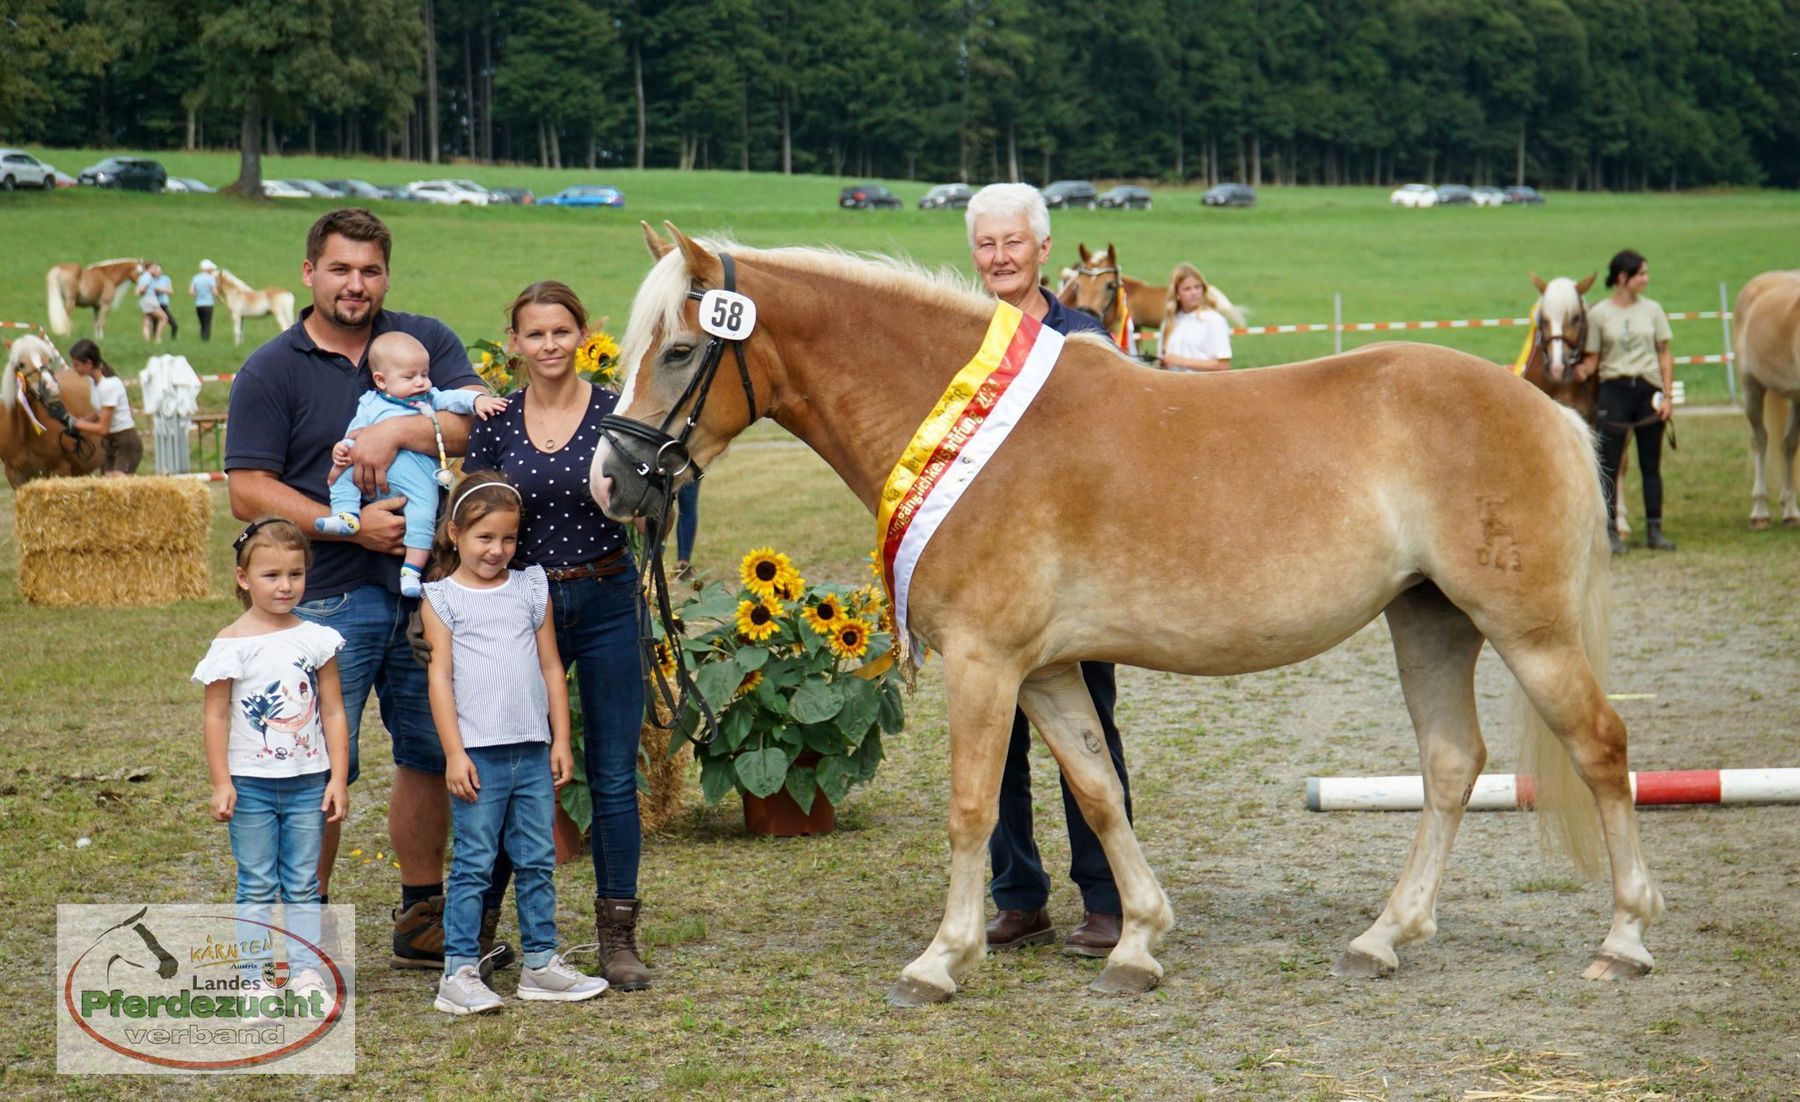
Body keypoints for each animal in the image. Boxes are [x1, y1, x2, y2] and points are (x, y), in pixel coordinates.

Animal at [2, 329, 100, 478]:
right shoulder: (14, 473)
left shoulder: (60, 469)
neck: (25, 434)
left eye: (48, 360)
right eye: (21, 364)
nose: (52, 388)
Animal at [597, 224, 1663, 1008]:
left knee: (1603, 749)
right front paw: (1138, 942)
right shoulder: (1043, 670)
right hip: (1430, 621)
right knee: (1450, 766)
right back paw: (1383, 937)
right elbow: (1100, 790)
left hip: (1528, 632)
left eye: (682, 350)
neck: (966, 426)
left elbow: (972, 807)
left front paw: (942, 960)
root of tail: (1540, 407)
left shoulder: (985, 663)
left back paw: (1623, 939)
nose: (613, 482)